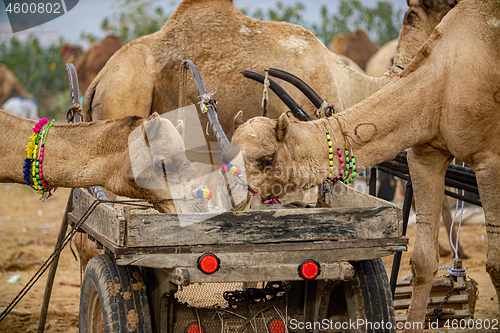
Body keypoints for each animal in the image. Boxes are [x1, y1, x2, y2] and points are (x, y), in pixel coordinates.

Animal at [230, 0, 500, 326]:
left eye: (266, 158)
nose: (234, 197)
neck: (444, 80)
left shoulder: (489, 160)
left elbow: (496, 265)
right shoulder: (425, 156)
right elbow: (422, 261)